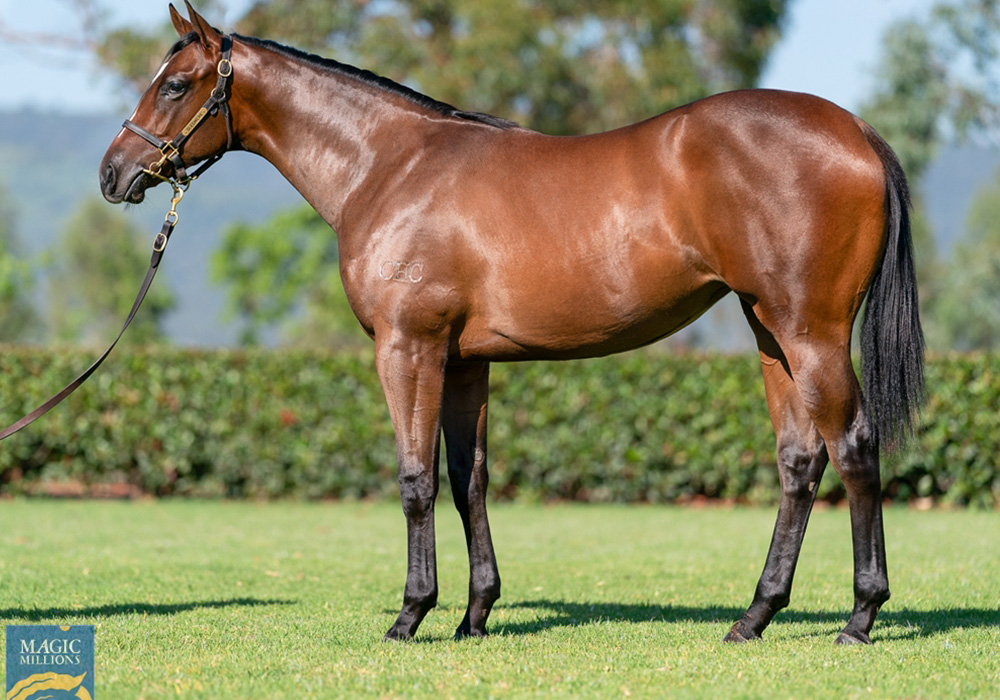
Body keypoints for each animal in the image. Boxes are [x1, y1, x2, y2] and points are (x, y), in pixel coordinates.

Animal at [99, 2, 920, 644]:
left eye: (175, 84)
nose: (113, 174)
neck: (389, 167)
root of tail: (856, 130)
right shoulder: (466, 360)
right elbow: (471, 480)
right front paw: (475, 615)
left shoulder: (409, 347)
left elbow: (416, 479)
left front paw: (411, 615)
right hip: (770, 334)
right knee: (799, 462)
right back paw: (754, 617)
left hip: (810, 332)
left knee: (854, 447)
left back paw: (859, 617)